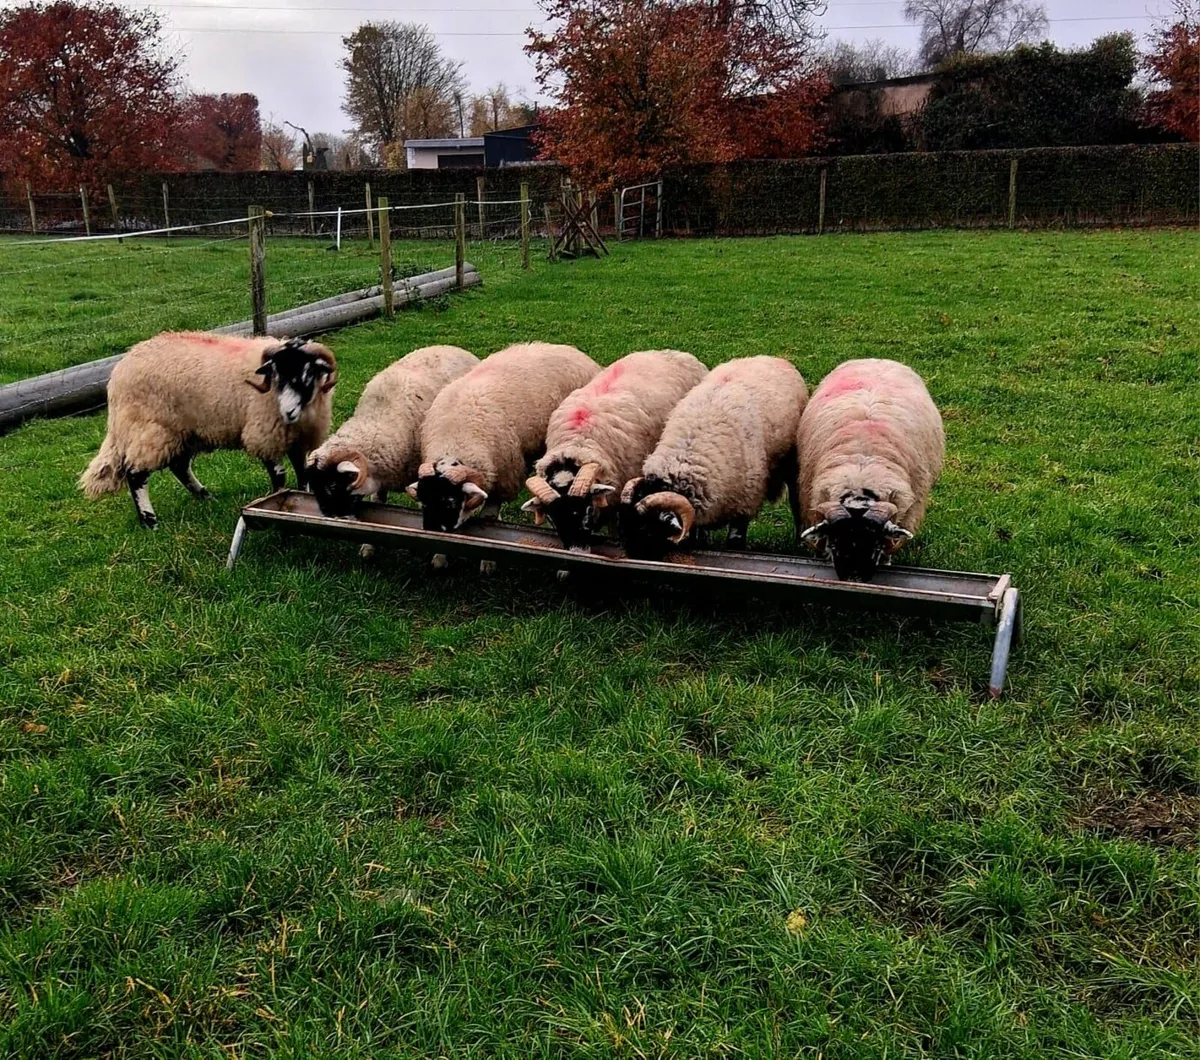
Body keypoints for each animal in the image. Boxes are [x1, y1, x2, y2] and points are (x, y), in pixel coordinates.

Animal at [79, 331, 336, 528]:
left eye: (308, 373)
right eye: (276, 375)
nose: (288, 412)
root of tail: (119, 371)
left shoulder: (298, 440)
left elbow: (302, 473)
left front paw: (302, 497)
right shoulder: (264, 435)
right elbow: (279, 474)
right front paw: (277, 496)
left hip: (184, 433)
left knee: (180, 467)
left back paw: (205, 496)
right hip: (149, 429)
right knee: (135, 474)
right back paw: (149, 521)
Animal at [407, 342, 600, 534]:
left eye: (451, 502)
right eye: (423, 502)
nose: (433, 530)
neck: (455, 440)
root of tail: (570, 349)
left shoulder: (505, 477)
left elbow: (490, 515)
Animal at [521, 350, 708, 549]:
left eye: (587, 509)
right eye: (552, 517)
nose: (576, 549)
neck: (577, 443)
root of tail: (679, 353)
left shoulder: (616, 498)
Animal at [619, 356, 808, 557]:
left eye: (647, 529)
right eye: (625, 524)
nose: (633, 556)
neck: (686, 457)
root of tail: (771, 357)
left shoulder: (744, 506)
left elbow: (734, 542)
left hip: (791, 464)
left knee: (796, 504)